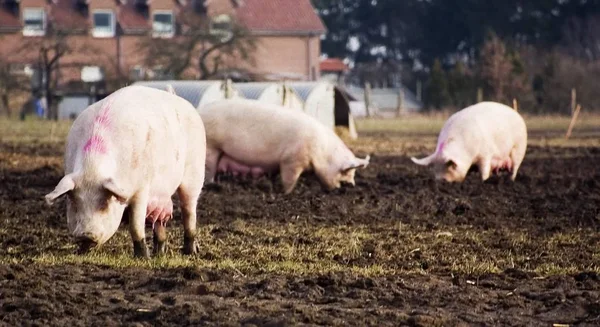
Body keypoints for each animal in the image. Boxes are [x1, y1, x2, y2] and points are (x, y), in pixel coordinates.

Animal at [43, 84, 207, 258]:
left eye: (104, 204)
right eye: (74, 202)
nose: (87, 235)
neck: (92, 168)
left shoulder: (141, 189)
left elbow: (135, 225)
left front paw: (143, 257)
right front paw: (81, 252)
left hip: (194, 173)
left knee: (189, 211)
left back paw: (190, 252)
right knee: (159, 223)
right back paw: (159, 254)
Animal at [200, 98, 370, 193]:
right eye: (345, 172)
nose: (351, 186)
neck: (322, 152)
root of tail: (200, 111)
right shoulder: (292, 159)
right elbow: (289, 179)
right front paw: (286, 193)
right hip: (211, 146)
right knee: (208, 168)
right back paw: (211, 185)